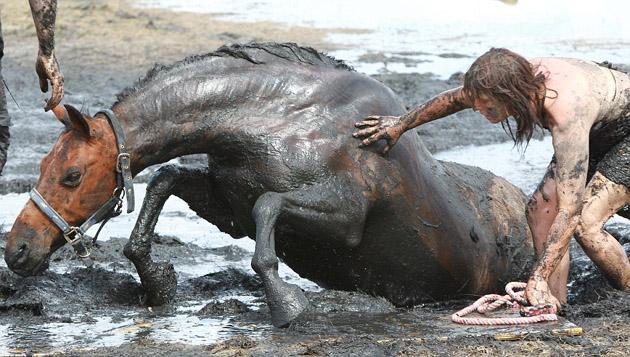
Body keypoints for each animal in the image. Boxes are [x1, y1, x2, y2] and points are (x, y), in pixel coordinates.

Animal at [7, 42, 536, 326]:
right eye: (41, 166)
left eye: (71, 175)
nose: (16, 250)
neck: (279, 119)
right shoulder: (230, 209)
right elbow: (166, 178)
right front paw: (158, 281)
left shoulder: (345, 218)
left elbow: (269, 206)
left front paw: (287, 304)